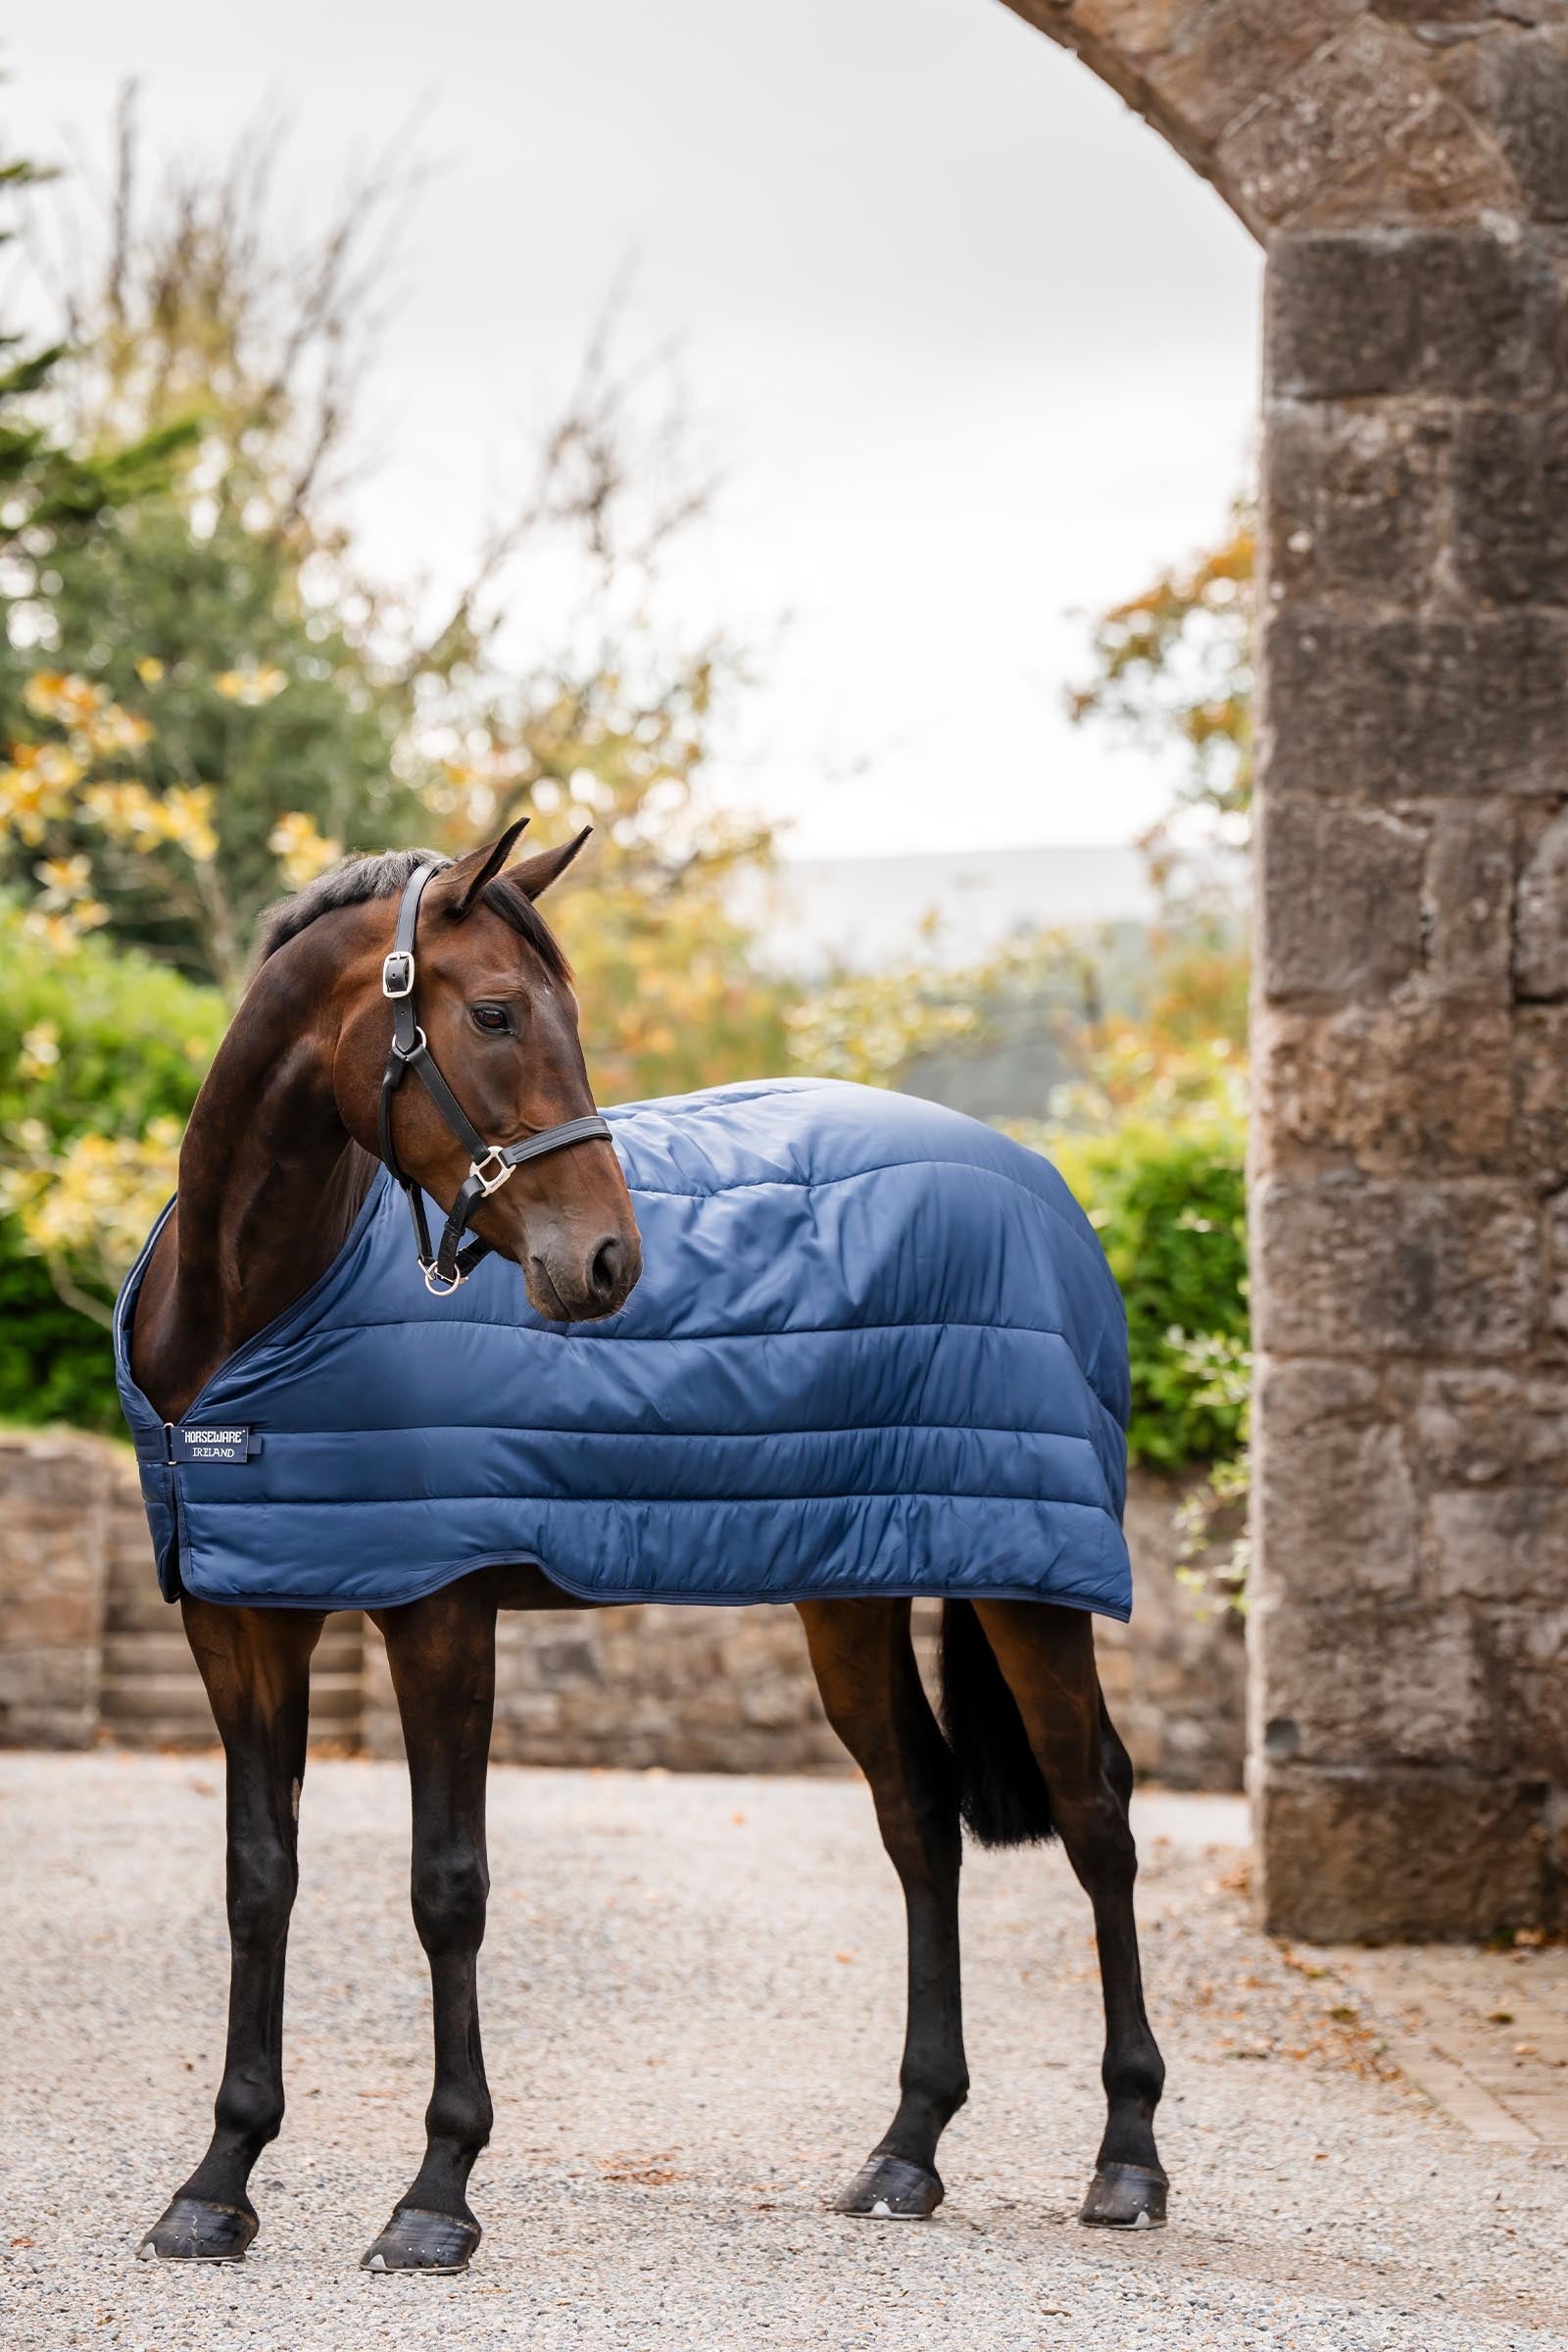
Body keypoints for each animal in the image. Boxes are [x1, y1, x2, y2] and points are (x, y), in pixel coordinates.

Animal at [122, 822, 1167, 2272]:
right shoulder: (242, 1615)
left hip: (1028, 1585)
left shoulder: (438, 1609)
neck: (253, 1310)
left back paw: (1127, 2158)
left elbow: (447, 1889)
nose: (610, 1263)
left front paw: (435, 2196)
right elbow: (258, 1880)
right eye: (495, 1014)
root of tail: (1042, 1183)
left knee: (1095, 1815)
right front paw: (218, 2180)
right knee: (918, 1820)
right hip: (852, 1588)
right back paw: (905, 2152)